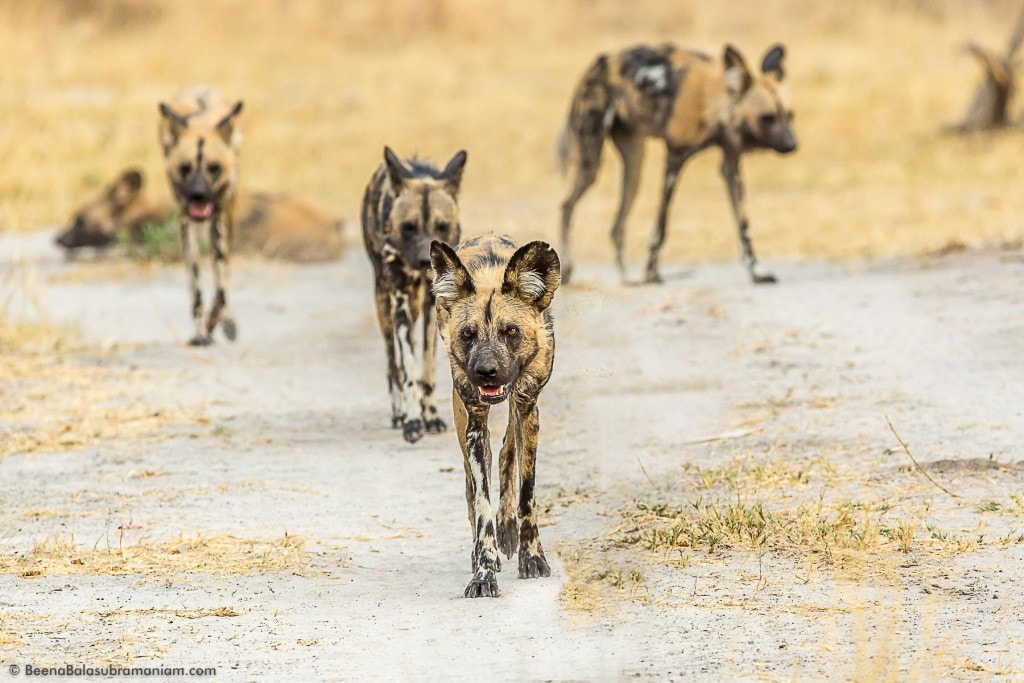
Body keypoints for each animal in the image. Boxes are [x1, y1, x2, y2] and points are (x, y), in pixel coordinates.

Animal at [156, 83, 242, 348]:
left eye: (214, 168)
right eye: (185, 168)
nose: (198, 195)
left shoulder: (221, 222)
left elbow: (221, 288)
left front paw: (214, 324)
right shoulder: (186, 224)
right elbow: (196, 290)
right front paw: (201, 333)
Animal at [360, 146, 468, 444]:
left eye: (442, 226)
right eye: (408, 227)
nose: (424, 261)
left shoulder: (435, 304)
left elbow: (427, 367)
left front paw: (429, 416)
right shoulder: (401, 300)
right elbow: (408, 367)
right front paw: (411, 421)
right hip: (384, 305)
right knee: (392, 360)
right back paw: (398, 412)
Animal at [430, 235, 565, 598]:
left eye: (511, 331)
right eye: (467, 334)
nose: (486, 372)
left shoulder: (527, 407)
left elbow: (526, 493)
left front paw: (532, 558)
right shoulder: (475, 424)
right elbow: (481, 505)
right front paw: (483, 572)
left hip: (518, 412)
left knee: (507, 453)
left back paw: (508, 533)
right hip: (463, 417)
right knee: (471, 484)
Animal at [557, 41, 794, 286]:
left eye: (789, 115)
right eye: (767, 117)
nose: (791, 145)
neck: (711, 100)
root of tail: (599, 63)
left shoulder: (731, 165)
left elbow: (744, 226)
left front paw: (757, 271)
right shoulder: (675, 159)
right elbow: (661, 227)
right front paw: (652, 273)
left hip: (634, 166)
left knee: (616, 226)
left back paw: (627, 277)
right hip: (591, 164)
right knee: (566, 206)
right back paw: (569, 268)